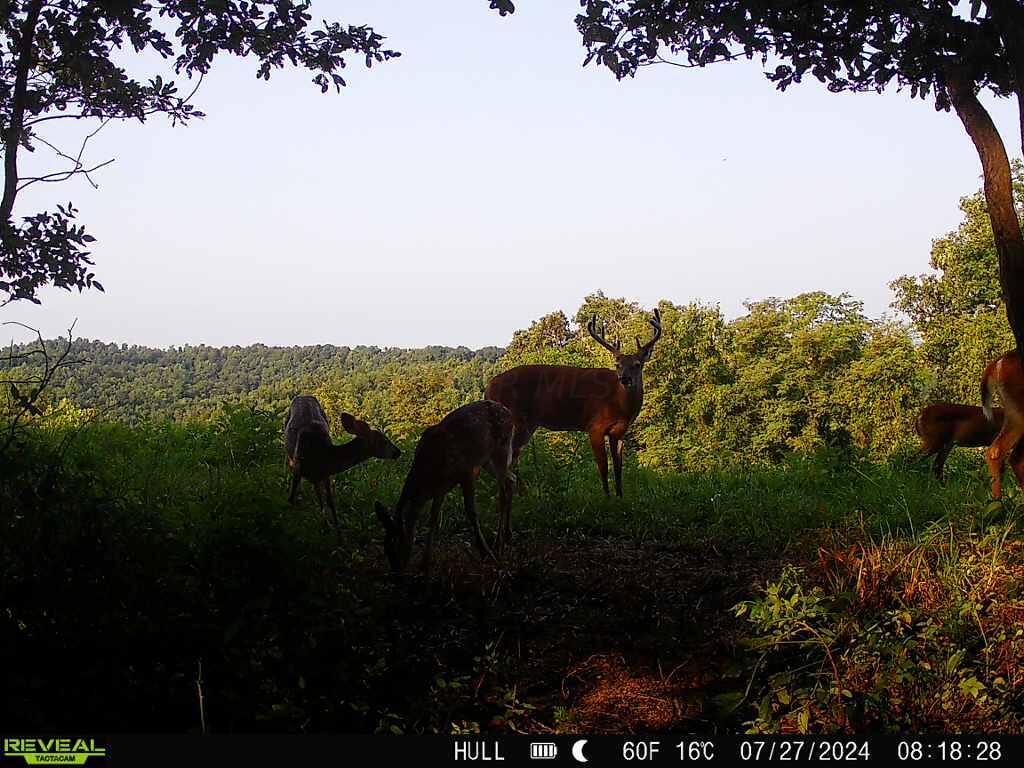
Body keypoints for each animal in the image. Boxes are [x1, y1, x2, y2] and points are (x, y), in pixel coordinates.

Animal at [288, 397, 403, 528]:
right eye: (384, 441)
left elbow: (330, 503)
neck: (322, 456)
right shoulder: (299, 468)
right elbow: (293, 499)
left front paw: (334, 527)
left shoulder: (326, 475)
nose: (398, 452)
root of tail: (303, 396)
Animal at [374, 403, 516, 573]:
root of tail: (509, 413)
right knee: (512, 479)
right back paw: (507, 536)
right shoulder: (440, 489)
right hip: (487, 461)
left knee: (503, 493)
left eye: (394, 545)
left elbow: (471, 512)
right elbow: (433, 519)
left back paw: (498, 545)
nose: (397, 571)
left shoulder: (467, 471)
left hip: (501, 449)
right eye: (385, 548)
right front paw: (425, 563)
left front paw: (485, 553)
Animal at [481, 309, 663, 499]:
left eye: (637, 364)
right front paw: (607, 498)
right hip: (514, 421)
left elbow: (619, 468)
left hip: (526, 426)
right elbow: (603, 467)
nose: (625, 379)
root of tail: (488, 388)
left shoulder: (619, 432)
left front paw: (620, 497)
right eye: (617, 364)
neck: (620, 405)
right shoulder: (595, 426)